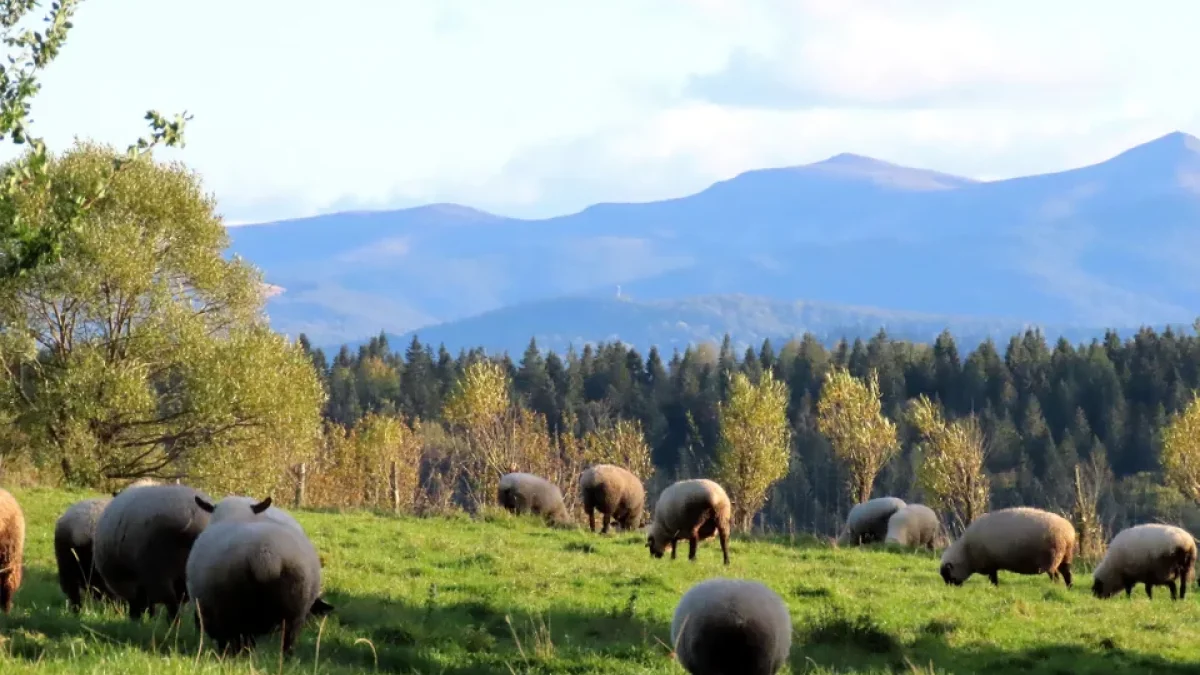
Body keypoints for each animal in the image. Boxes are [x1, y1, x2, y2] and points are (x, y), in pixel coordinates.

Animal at [188, 494, 328, 653]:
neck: (238, 516)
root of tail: (266, 555)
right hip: (296, 609)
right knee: (288, 641)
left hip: (230, 610)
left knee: (233, 640)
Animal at [936, 504, 1080, 583]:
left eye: (947, 575)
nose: (952, 588)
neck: (966, 553)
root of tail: (1068, 533)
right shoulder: (992, 564)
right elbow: (994, 578)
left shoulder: (989, 564)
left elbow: (993, 578)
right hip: (1065, 556)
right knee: (1067, 574)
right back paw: (1069, 587)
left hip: (1052, 557)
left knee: (1055, 576)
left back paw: (1056, 587)